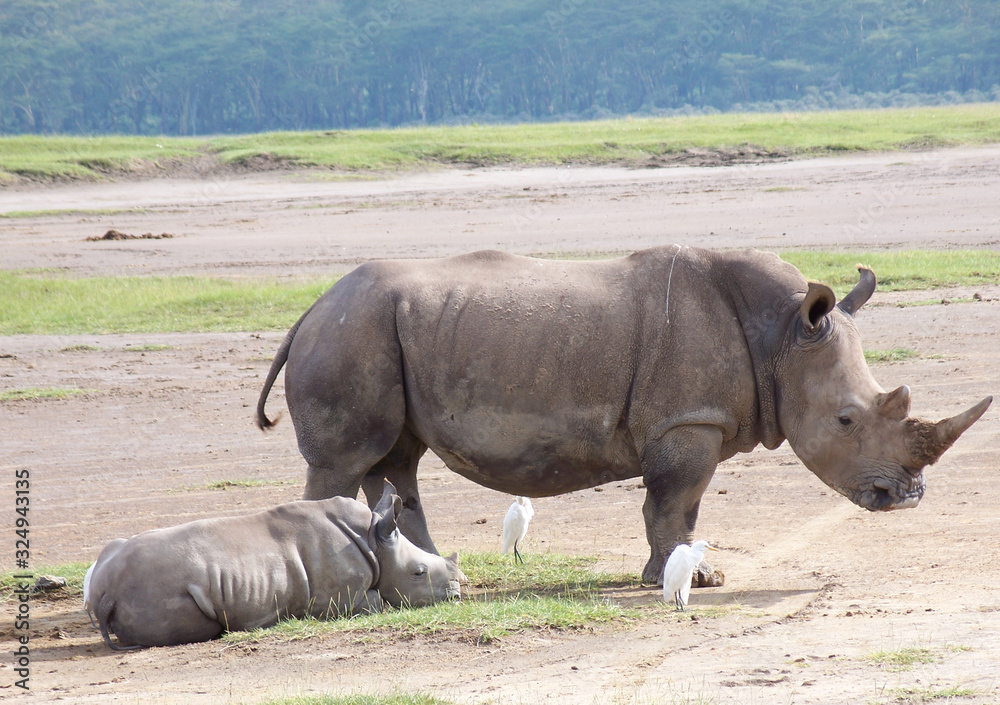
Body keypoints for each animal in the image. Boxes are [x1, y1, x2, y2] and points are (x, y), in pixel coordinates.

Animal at [88, 482, 461, 649]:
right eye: (419, 573)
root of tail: (106, 594)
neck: (372, 538)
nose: (457, 596)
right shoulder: (343, 600)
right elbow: (380, 602)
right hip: (156, 589)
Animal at [256, 246, 991, 584]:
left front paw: (694, 575)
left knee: (396, 460)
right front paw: (683, 578)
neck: (782, 334)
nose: (906, 496)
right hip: (352, 335)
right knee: (345, 460)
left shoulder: (692, 422)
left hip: (379, 331)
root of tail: (311, 308)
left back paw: (438, 575)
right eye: (845, 420)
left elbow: (681, 508)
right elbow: (672, 503)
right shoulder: (686, 422)